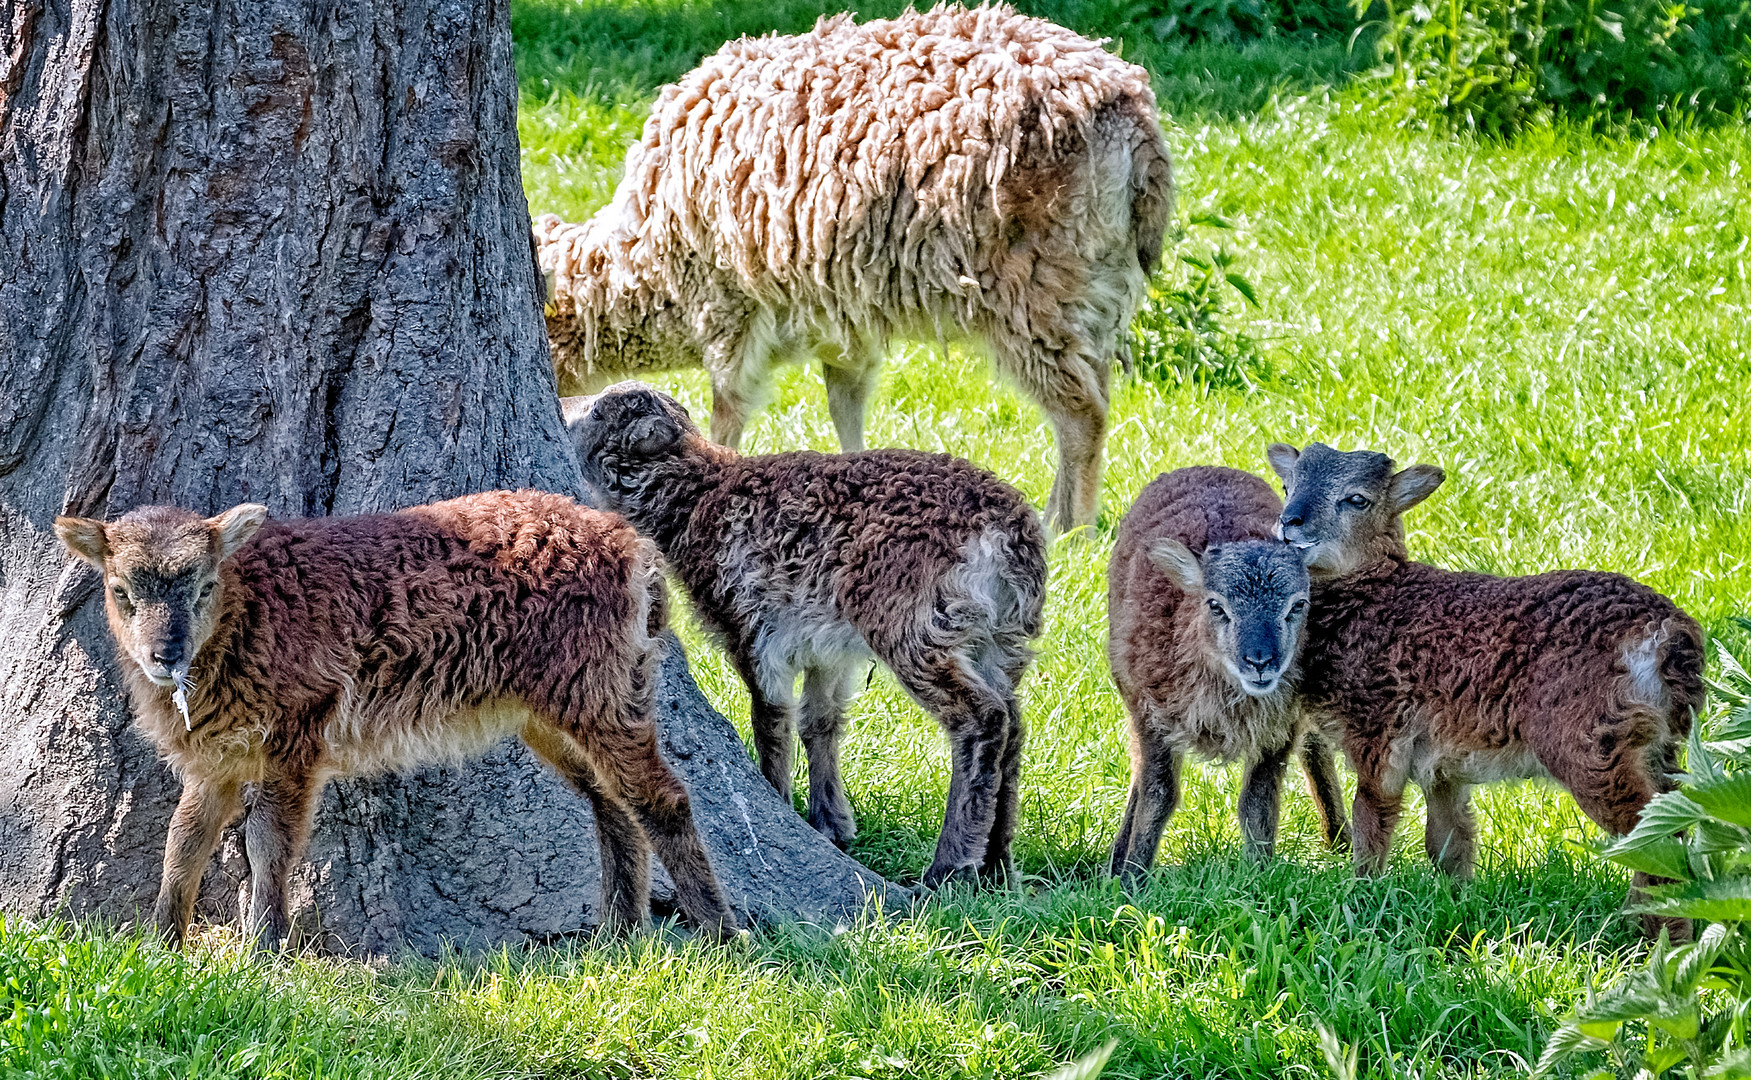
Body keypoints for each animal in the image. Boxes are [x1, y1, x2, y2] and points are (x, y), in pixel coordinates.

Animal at [52, 490, 738, 952]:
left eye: (202, 586)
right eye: (120, 590)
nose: (164, 654)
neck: (247, 612)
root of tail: (636, 550)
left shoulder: (296, 734)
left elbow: (266, 842)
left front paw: (262, 949)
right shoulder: (215, 760)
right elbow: (184, 840)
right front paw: (161, 946)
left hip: (599, 690)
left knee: (662, 799)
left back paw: (723, 935)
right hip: (551, 711)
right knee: (610, 801)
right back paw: (621, 934)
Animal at [535, 3, 1176, 535]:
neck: (643, 264)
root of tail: (1133, 119)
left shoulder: (729, 305)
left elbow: (726, 411)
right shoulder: (843, 318)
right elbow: (845, 404)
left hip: (1033, 290)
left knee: (1082, 412)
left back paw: (1071, 530)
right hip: (1093, 286)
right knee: (1094, 389)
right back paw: (1056, 513)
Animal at [567, 383, 1043, 889]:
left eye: (597, 412)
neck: (695, 496)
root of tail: (1007, 535)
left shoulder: (753, 629)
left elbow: (772, 722)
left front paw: (779, 800)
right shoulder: (827, 649)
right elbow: (820, 722)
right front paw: (831, 825)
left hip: (912, 621)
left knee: (982, 718)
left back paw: (950, 866)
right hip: (1000, 635)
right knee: (1014, 724)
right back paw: (999, 864)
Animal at [1106, 462, 1351, 875]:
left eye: (1298, 605)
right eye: (1216, 605)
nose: (1260, 661)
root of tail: (1208, 466)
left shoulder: (1279, 728)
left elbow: (1258, 803)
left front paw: (1260, 873)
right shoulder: (1152, 715)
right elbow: (1158, 795)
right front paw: (1132, 875)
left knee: (1315, 749)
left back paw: (1341, 840)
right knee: (1138, 772)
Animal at [1267, 442, 1701, 931]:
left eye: (1357, 499)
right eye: (1287, 485)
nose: (1290, 522)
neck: (1377, 598)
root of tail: (1669, 636)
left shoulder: (1379, 735)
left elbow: (1371, 822)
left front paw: (1363, 895)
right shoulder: (1441, 765)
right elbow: (1449, 842)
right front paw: (1456, 904)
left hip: (1591, 749)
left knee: (1657, 842)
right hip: (1657, 749)